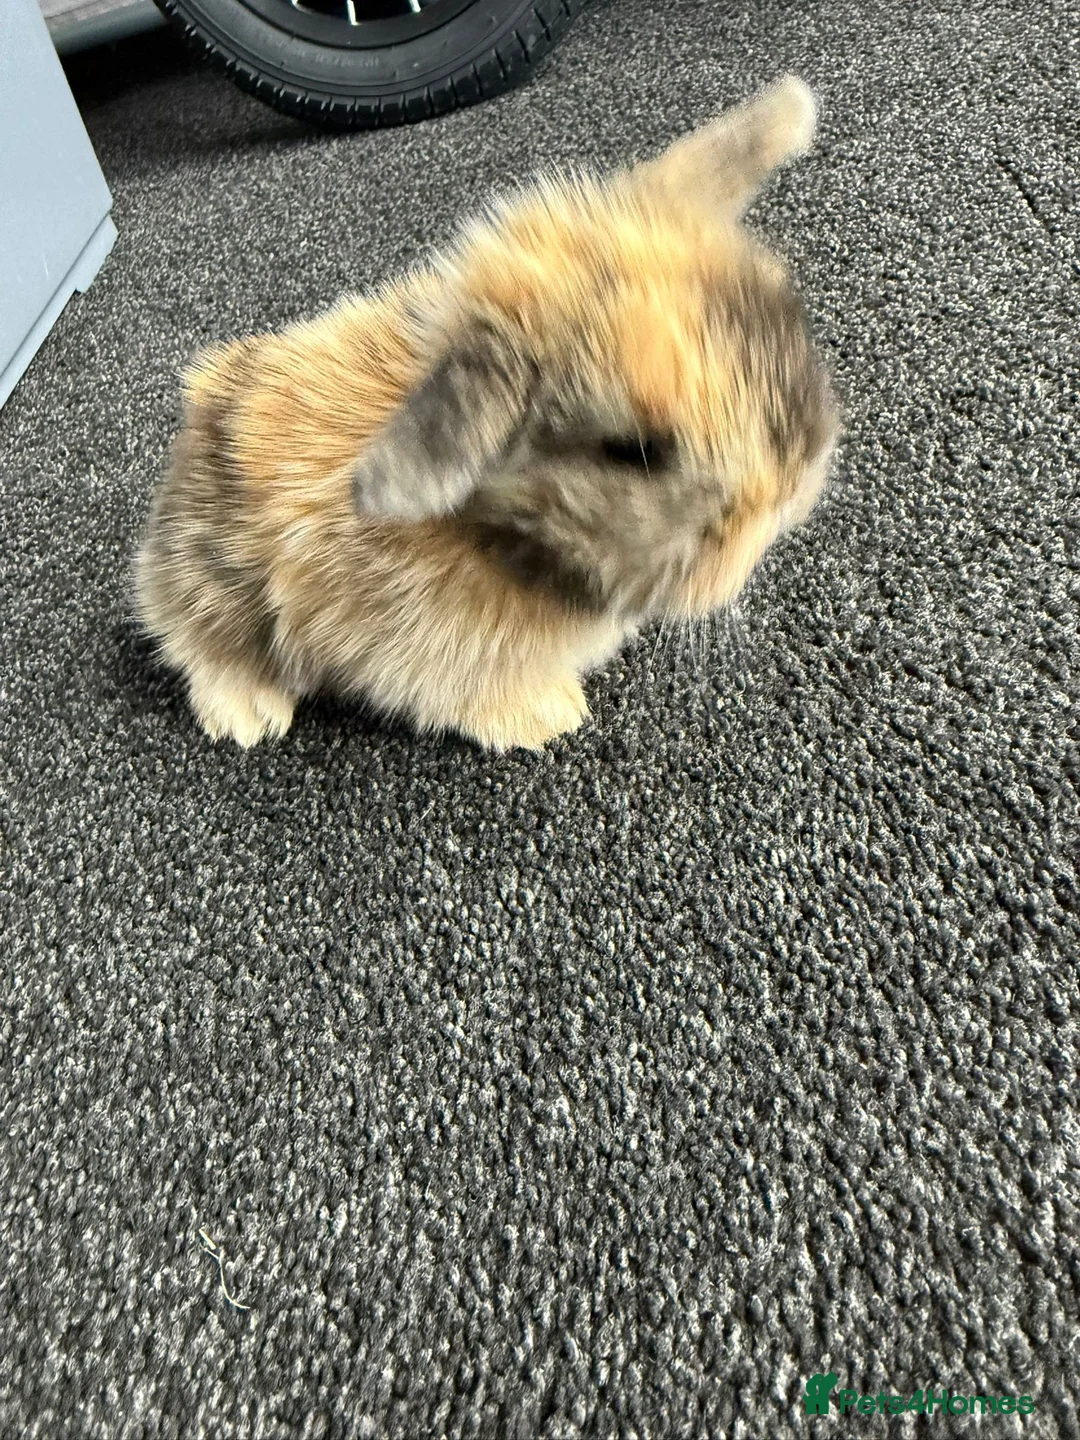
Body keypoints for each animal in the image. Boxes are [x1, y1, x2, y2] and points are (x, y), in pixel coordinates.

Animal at [134, 74, 839, 752]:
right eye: (634, 451)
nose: (790, 498)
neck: (493, 533)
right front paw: (552, 716)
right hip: (214, 589)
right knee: (197, 645)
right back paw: (249, 716)